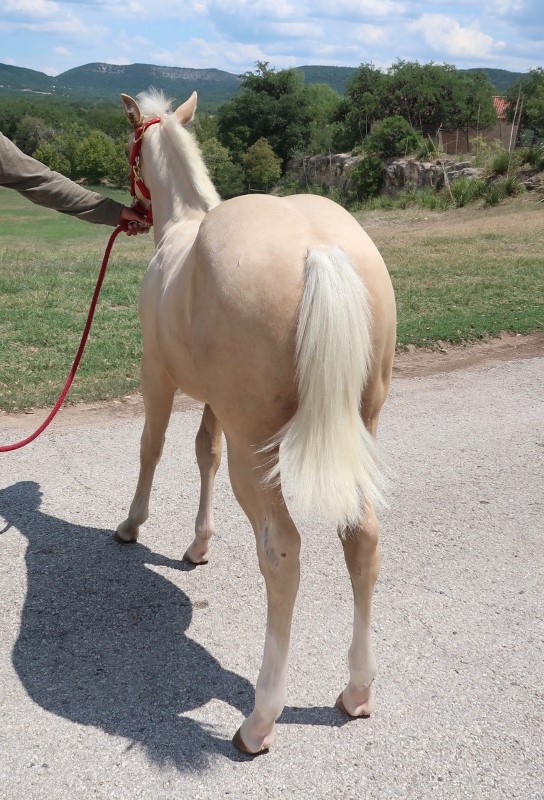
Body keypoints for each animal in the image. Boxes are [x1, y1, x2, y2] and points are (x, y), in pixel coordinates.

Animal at [116, 90, 396, 752]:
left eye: (132, 147)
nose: (132, 209)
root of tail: (319, 249)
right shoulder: (214, 405)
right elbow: (203, 453)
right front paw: (197, 545)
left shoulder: (157, 375)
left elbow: (152, 447)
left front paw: (133, 526)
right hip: (360, 429)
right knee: (362, 535)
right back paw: (356, 691)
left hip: (258, 452)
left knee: (282, 552)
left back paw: (260, 718)